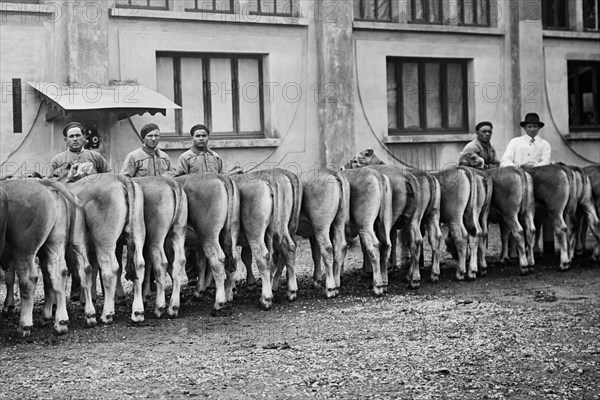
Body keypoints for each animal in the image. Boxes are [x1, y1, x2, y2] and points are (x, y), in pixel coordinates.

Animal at [0, 180, 81, 336]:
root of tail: (44, 184)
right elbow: (9, 278)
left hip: (24, 248)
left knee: (29, 279)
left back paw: (24, 326)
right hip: (54, 243)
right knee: (57, 274)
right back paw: (60, 322)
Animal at [175, 173, 238, 314]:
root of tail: (219, 176)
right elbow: (201, 264)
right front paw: (199, 290)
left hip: (208, 235)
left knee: (217, 261)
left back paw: (219, 303)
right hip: (229, 232)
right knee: (232, 258)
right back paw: (228, 294)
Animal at [296, 168, 352, 296]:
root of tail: (331, 172)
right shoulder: (311, 233)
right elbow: (315, 255)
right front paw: (316, 281)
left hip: (321, 224)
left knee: (327, 248)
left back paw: (330, 287)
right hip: (338, 220)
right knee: (340, 247)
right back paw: (336, 284)